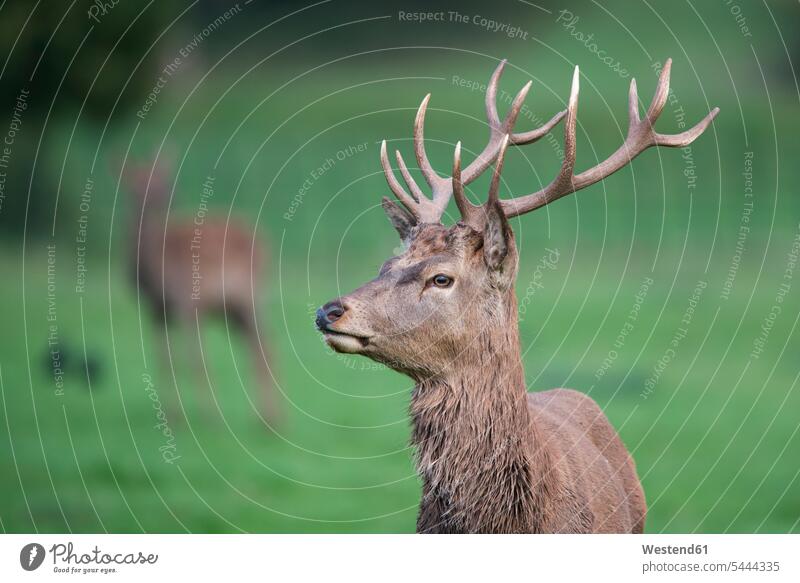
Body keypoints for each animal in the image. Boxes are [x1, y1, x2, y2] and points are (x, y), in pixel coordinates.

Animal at [120, 159, 280, 424]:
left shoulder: (187, 302)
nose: (168, 194)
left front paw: (210, 415)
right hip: (233, 310)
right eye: (136, 182)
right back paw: (267, 418)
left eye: (162, 176)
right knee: (259, 346)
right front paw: (172, 415)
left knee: (265, 347)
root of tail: (265, 240)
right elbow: (166, 360)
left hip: (250, 298)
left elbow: (196, 359)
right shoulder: (155, 310)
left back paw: (271, 419)